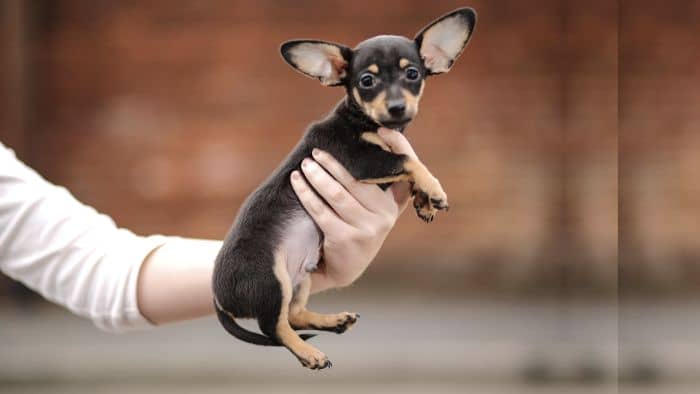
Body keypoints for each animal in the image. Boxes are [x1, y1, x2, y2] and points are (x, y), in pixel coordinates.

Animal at [213, 6, 476, 370]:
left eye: (412, 74)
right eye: (366, 81)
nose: (397, 107)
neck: (365, 121)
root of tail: (218, 298)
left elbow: (404, 166)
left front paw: (423, 201)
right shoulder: (360, 159)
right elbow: (408, 160)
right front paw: (433, 188)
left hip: (299, 279)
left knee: (293, 315)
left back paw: (332, 321)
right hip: (270, 281)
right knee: (275, 328)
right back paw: (309, 353)